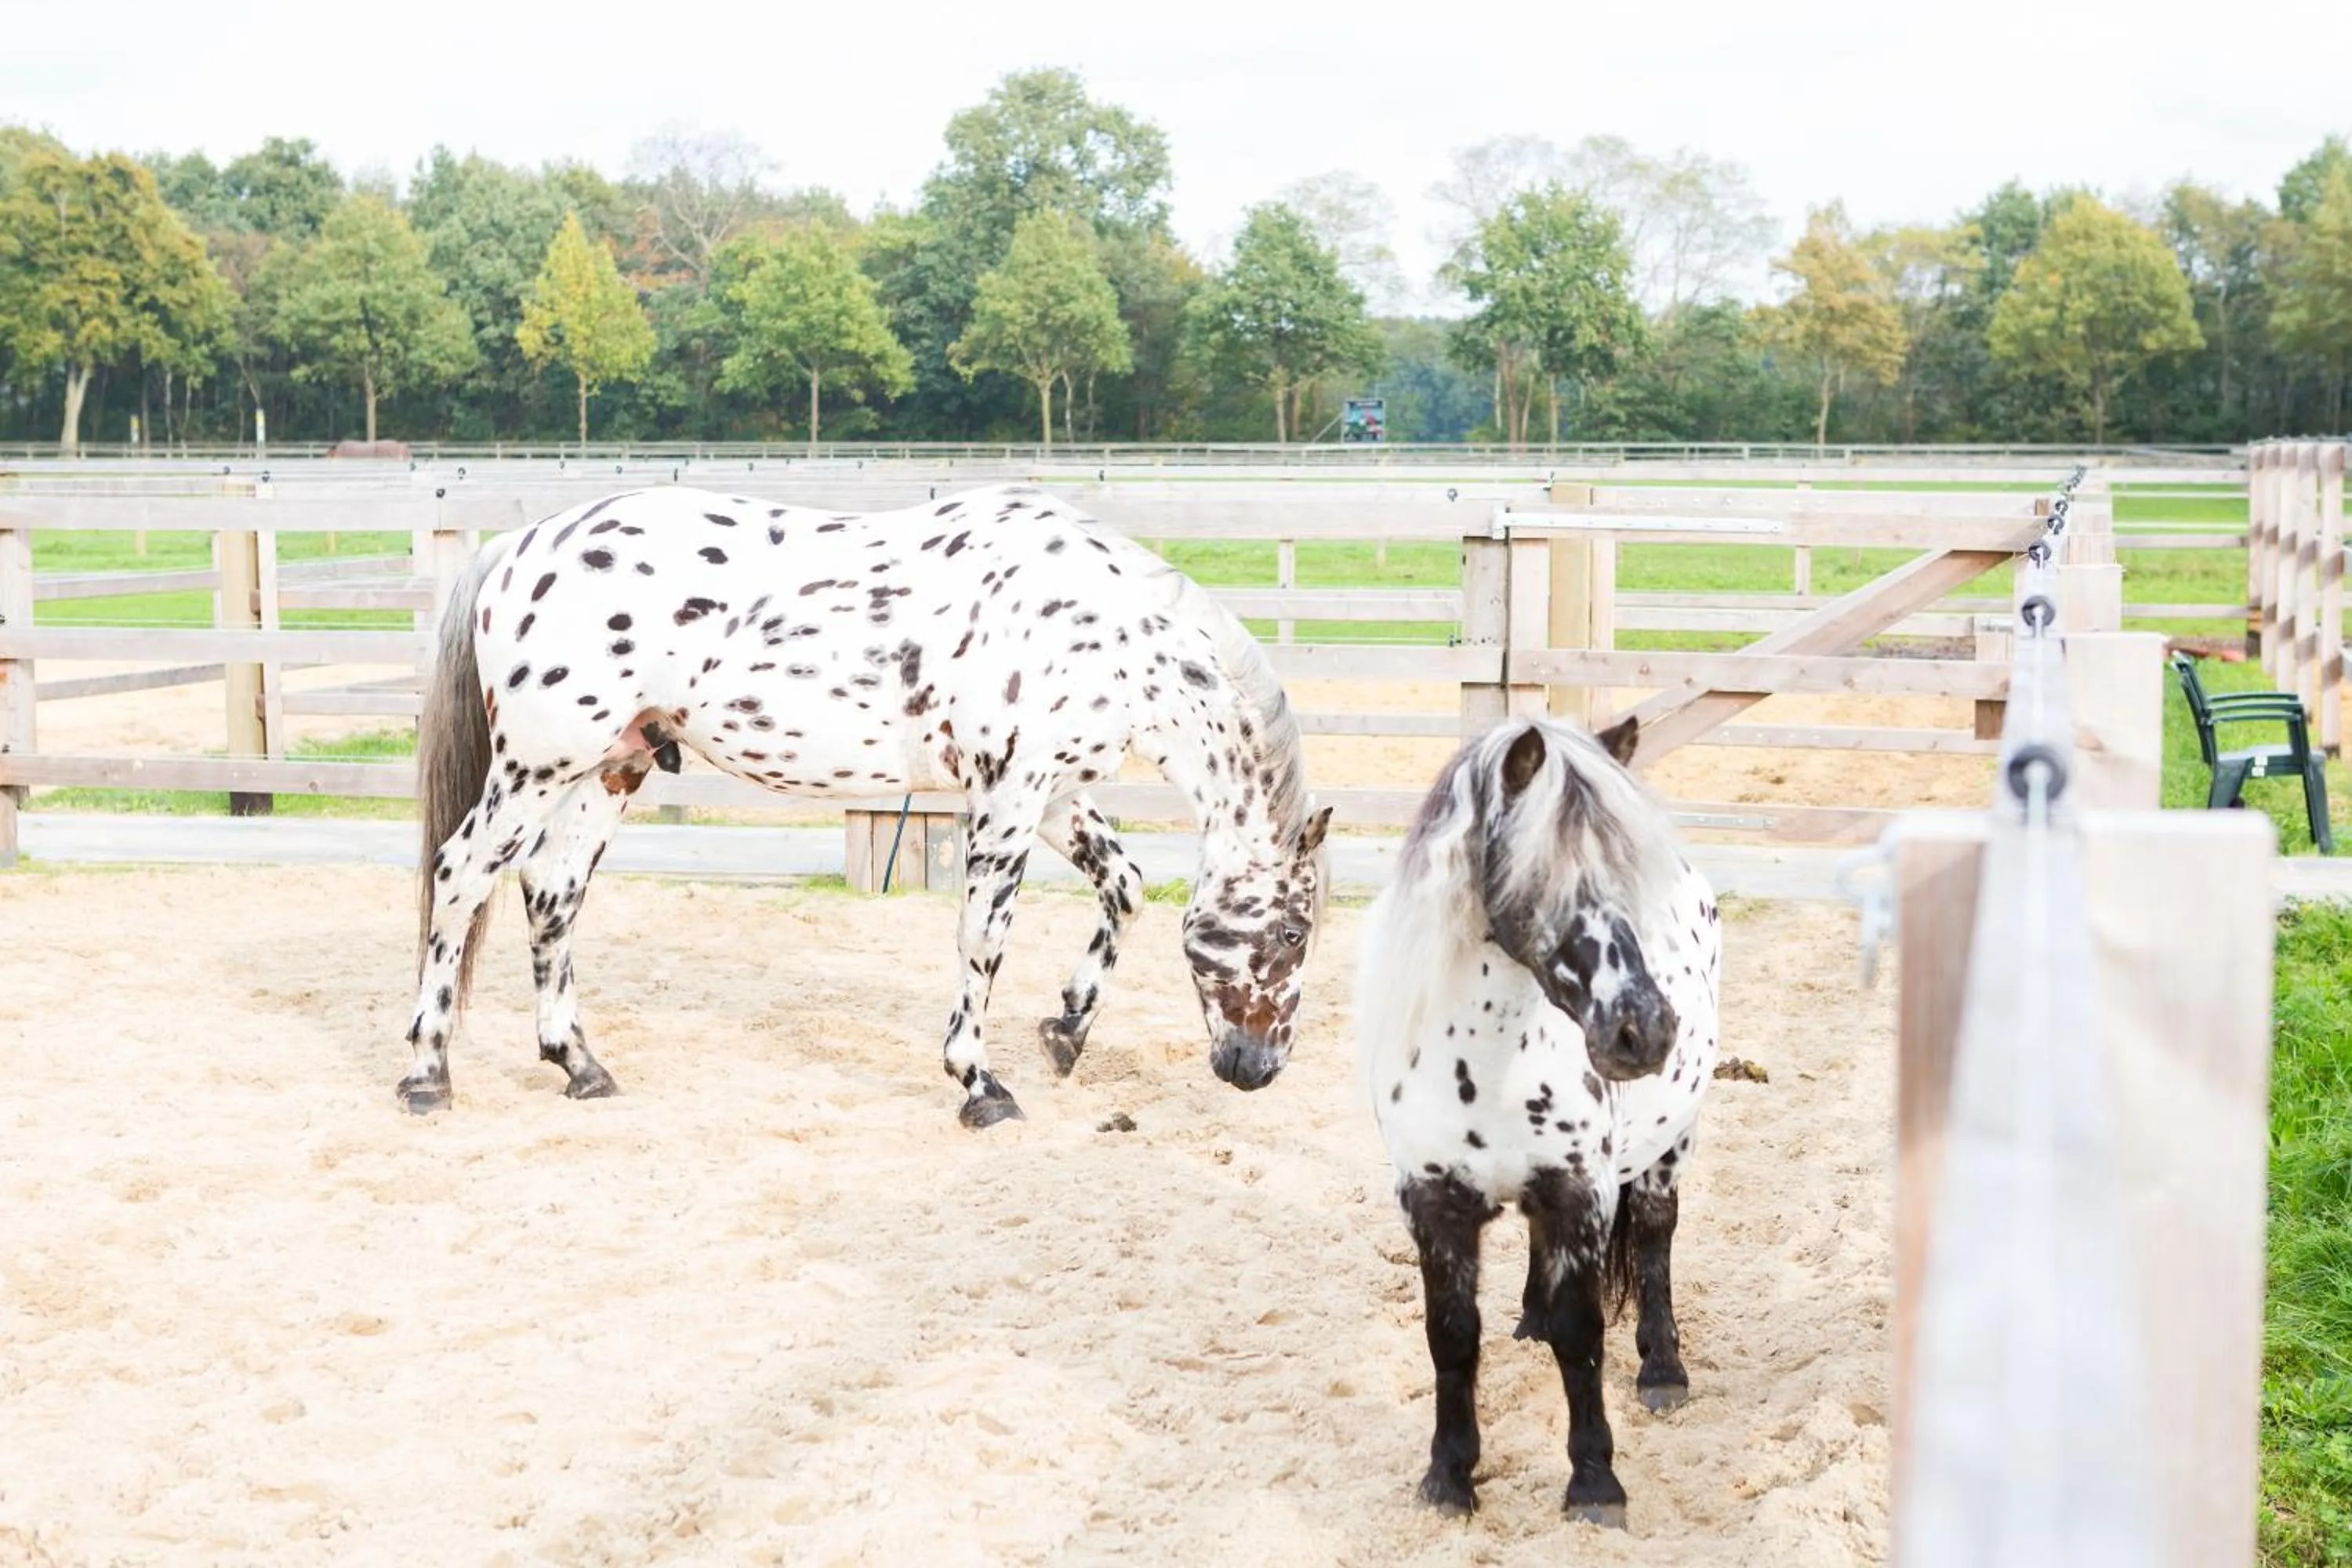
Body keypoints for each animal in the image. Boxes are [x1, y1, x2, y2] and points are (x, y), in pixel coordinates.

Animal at [401, 483, 1332, 1128]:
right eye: (1294, 932)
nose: (1258, 1068)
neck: (1107, 630)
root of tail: (520, 546)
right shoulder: (1008, 794)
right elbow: (983, 938)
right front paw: (980, 1084)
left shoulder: (1055, 790)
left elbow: (1125, 885)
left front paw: (1067, 1029)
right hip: (536, 766)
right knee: (462, 873)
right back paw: (427, 1074)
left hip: (610, 766)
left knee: (552, 893)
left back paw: (579, 1064)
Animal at [1355, 715, 1722, 1527]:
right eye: (1541, 877)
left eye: (1627, 880)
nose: (1643, 1029)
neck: (1487, 1065)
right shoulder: (1434, 1205)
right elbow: (1452, 1337)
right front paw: (1448, 1478)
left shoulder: (1582, 1196)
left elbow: (1581, 1336)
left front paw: (1594, 1483)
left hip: (1671, 1145)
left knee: (1656, 1236)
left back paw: (1662, 1369)